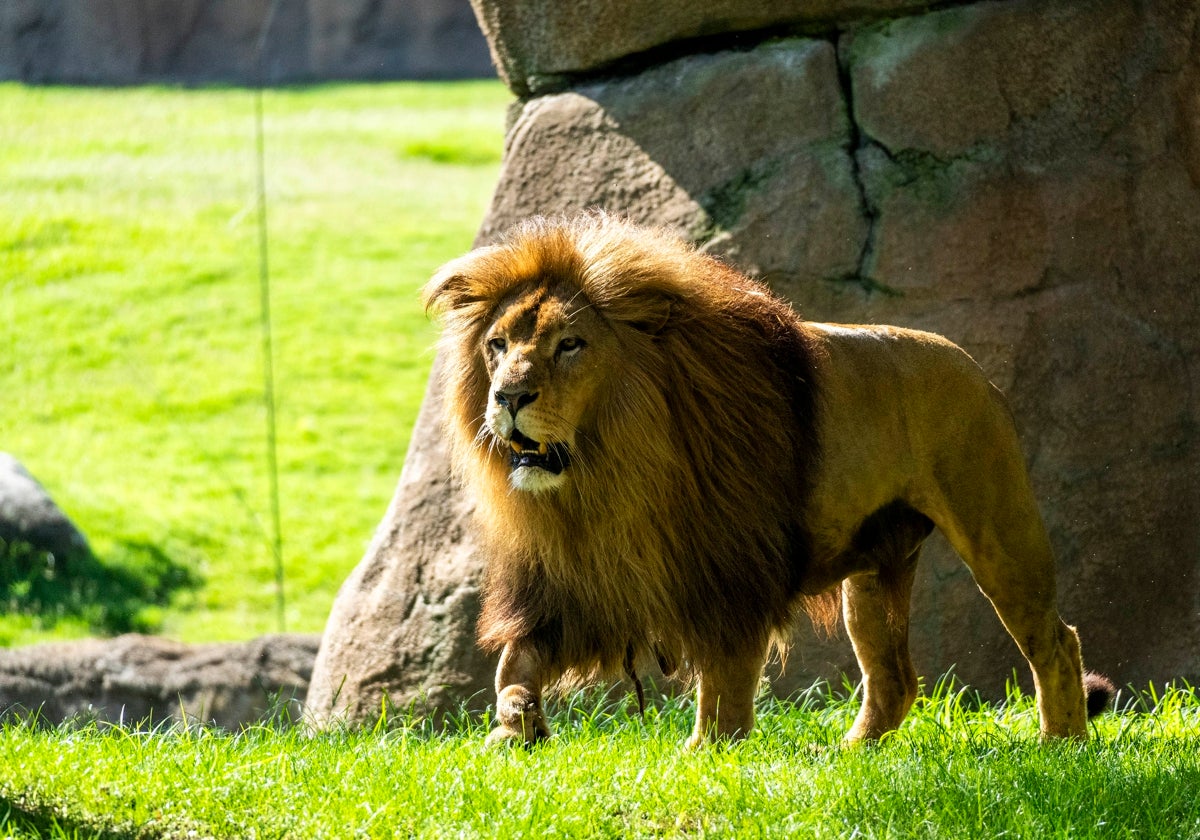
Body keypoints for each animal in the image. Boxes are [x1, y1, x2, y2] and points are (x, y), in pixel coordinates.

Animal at [424, 210, 1113, 748]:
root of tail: (975, 366)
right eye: (497, 345)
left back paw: (1061, 745)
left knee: (1056, 640)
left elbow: (726, 681)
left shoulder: (730, 573)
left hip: (999, 534)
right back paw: (849, 756)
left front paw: (706, 752)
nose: (508, 397)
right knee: (894, 679)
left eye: (570, 345)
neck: (609, 473)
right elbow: (515, 662)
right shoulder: (574, 583)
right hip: (870, 575)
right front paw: (515, 725)